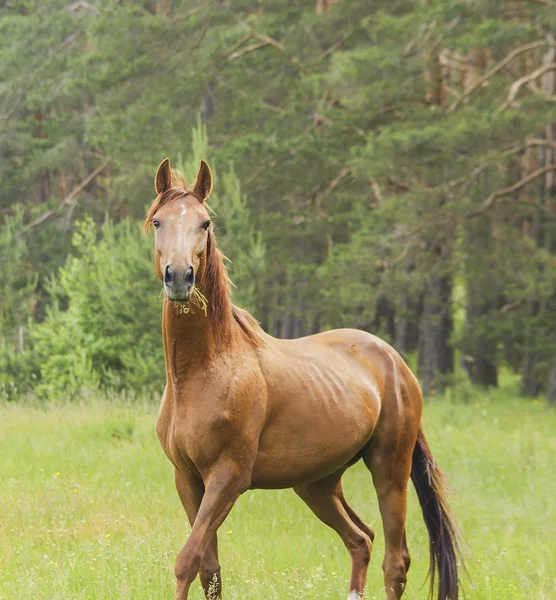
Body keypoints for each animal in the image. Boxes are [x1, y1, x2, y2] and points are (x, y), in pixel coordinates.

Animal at [144, 157, 460, 596]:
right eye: (158, 221)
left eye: (205, 223)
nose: (179, 277)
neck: (203, 373)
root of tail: (396, 364)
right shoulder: (187, 479)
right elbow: (210, 569)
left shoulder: (228, 478)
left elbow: (187, 560)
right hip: (318, 484)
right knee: (360, 539)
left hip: (389, 469)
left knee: (395, 562)